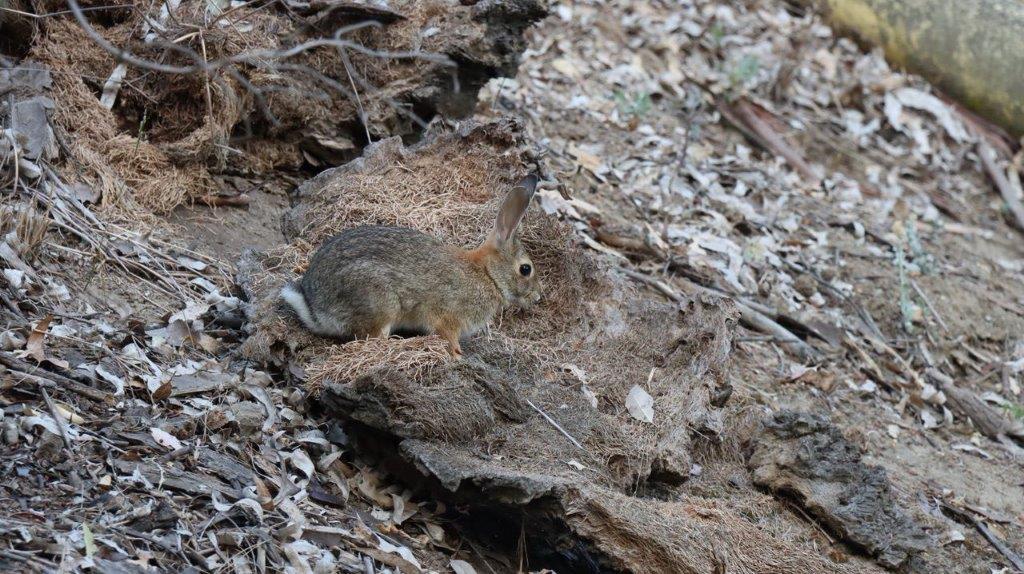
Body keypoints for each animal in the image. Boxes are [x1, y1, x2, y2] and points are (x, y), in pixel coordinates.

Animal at [276, 174, 540, 356]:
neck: (487, 275)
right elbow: (447, 334)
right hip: (380, 302)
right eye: (525, 269)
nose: (537, 297)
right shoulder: (447, 314)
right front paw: (457, 355)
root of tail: (317, 311)